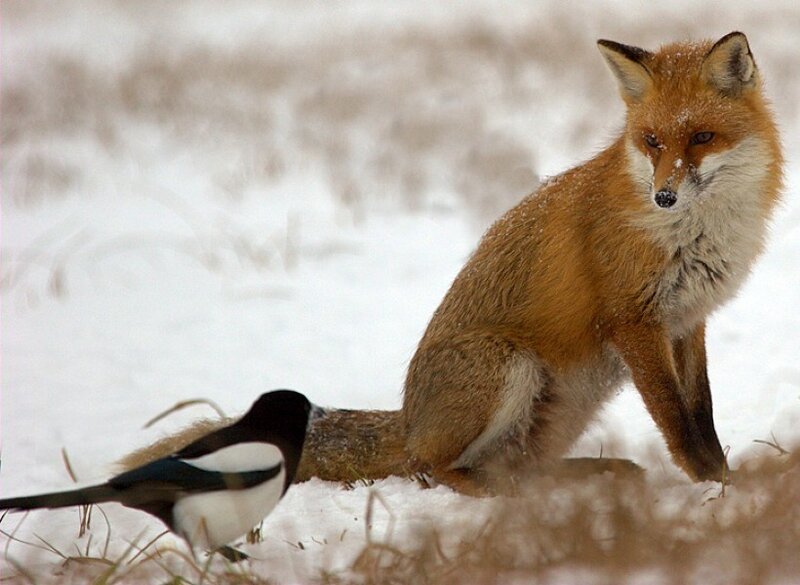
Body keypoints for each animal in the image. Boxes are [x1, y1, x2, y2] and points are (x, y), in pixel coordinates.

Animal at [121, 32, 783, 494]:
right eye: (651, 142)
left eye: (700, 138)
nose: (664, 196)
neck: (696, 233)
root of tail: (409, 419)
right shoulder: (635, 321)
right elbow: (678, 423)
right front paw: (714, 492)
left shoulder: (686, 321)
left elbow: (702, 413)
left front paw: (727, 481)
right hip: (508, 367)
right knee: (432, 468)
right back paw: (494, 493)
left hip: (563, 405)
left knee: (517, 465)